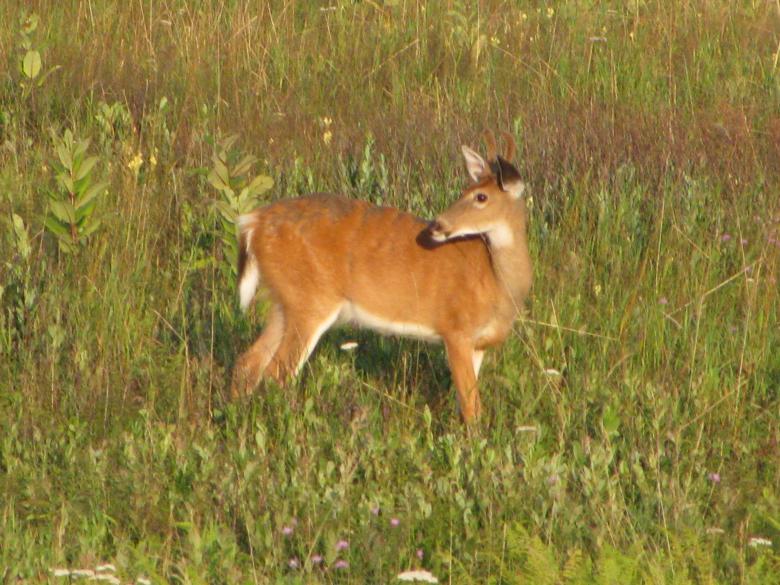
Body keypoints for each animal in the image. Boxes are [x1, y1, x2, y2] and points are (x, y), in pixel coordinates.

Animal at [231, 130, 532, 423]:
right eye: (466, 191)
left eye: (480, 196)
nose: (437, 225)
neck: (496, 280)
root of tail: (253, 222)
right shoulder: (456, 329)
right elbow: (471, 409)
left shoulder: (478, 344)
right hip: (311, 299)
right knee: (277, 372)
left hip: (283, 299)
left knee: (248, 362)